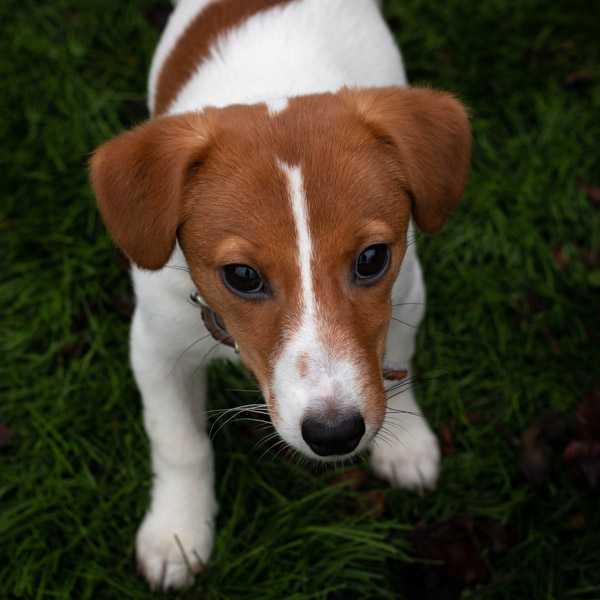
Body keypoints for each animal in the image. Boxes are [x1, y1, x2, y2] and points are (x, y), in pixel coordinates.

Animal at [91, 0, 472, 592]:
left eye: (371, 259)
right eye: (242, 276)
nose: (336, 435)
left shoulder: (406, 295)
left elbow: (397, 367)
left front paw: (405, 442)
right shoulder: (155, 346)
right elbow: (179, 444)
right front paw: (178, 531)